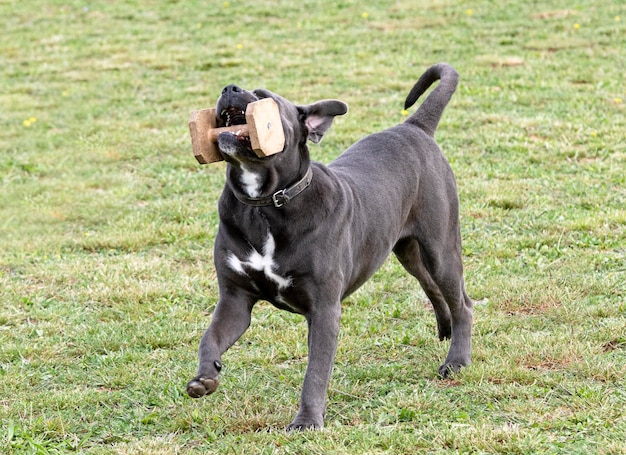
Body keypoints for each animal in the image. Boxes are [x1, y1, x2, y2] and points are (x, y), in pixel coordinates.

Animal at [188, 63, 470, 432]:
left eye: (264, 96)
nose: (229, 87)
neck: (265, 205)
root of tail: (414, 127)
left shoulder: (323, 308)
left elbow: (316, 370)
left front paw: (307, 420)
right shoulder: (235, 300)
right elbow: (209, 337)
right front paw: (204, 378)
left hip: (440, 247)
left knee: (462, 302)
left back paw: (457, 360)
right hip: (406, 249)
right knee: (432, 287)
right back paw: (446, 330)